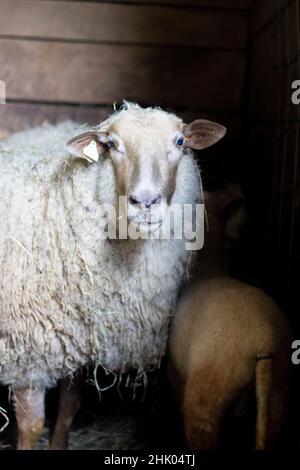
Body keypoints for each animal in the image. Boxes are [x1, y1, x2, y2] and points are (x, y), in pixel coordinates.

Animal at [0, 102, 226, 448]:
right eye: (111, 144)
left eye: (179, 142)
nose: (145, 202)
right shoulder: (27, 347)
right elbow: (31, 426)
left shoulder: (76, 336)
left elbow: (69, 406)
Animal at [168, 183, 292, 448]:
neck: (206, 266)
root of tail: (265, 339)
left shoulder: (174, 371)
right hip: (280, 389)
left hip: (210, 385)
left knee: (202, 428)